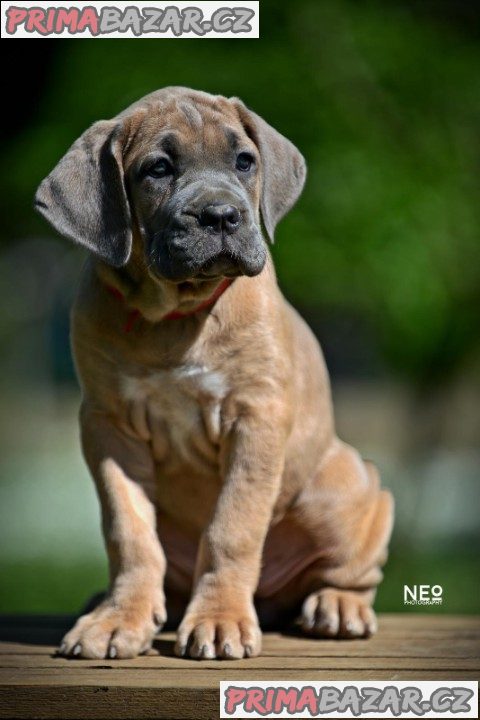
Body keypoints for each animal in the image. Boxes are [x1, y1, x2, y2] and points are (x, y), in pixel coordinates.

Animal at [34, 87, 394, 660]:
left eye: (244, 161)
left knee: (353, 566)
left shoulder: (255, 417)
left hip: (346, 487)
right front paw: (119, 619)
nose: (222, 215)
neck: (173, 316)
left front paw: (221, 620)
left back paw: (338, 606)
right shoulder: (108, 426)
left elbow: (232, 526)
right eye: (157, 169)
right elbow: (128, 529)